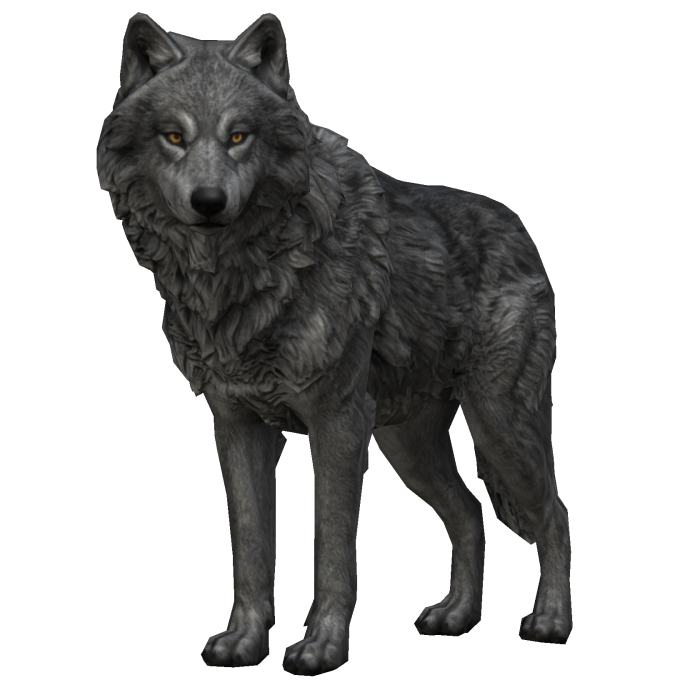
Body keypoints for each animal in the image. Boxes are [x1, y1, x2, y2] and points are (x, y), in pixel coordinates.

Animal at [96, 12, 572, 675]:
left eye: (239, 136)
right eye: (173, 136)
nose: (209, 203)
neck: (246, 277)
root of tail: (521, 231)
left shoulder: (337, 425)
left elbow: (332, 550)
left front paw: (321, 647)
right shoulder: (236, 425)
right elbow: (250, 551)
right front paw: (244, 641)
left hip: (498, 428)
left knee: (554, 516)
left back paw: (551, 621)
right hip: (411, 451)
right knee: (471, 516)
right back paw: (455, 616)